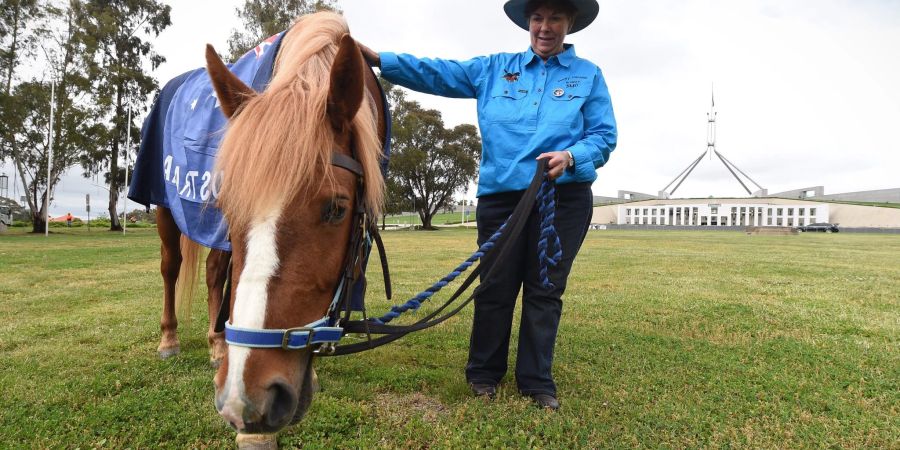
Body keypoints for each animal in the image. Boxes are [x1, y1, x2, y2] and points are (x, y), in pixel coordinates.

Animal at [149, 13, 386, 436]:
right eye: (227, 205)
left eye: (336, 209)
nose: (245, 399)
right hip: (163, 206)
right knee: (170, 267)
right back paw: (170, 339)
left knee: (214, 272)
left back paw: (216, 342)